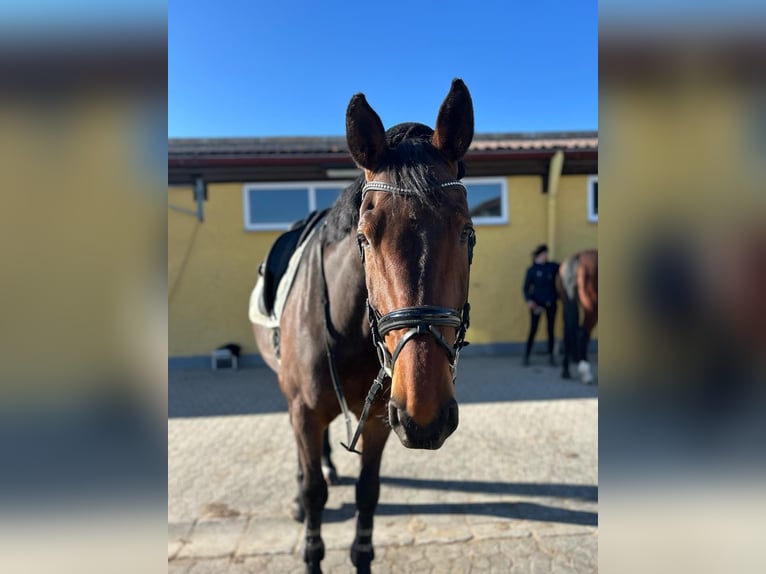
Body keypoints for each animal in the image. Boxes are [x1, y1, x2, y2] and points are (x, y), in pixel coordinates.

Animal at [251, 79, 475, 573]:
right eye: (365, 236)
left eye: (467, 232)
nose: (426, 415)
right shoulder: (305, 411)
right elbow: (314, 494)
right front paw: (310, 545)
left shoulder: (379, 419)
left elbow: (367, 495)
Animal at [557, 249, 598, 383]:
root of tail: (578, 257)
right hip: (592, 307)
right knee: (582, 333)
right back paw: (585, 373)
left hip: (567, 302)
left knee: (569, 332)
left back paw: (566, 371)